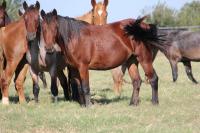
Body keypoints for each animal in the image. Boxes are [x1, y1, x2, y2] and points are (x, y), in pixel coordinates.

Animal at [38, 9, 166, 107]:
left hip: (144, 59)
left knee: (153, 78)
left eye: (55, 27)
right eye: (43, 28)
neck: (75, 38)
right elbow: (78, 87)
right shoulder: (74, 68)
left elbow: (85, 87)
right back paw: (132, 104)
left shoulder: (83, 67)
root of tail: (144, 26)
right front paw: (83, 105)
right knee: (137, 81)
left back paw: (155, 103)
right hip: (132, 61)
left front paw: (88, 106)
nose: (49, 48)